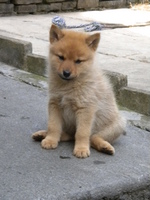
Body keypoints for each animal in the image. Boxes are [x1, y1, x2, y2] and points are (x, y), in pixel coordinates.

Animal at [32, 24, 126, 158]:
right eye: (61, 57)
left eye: (78, 61)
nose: (66, 73)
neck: (69, 86)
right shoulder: (55, 104)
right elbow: (53, 126)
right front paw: (50, 140)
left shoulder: (85, 109)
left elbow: (82, 133)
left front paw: (81, 149)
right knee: (69, 135)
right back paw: (43, 135)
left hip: (117, 125)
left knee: (93, 137)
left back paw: (104, 146)